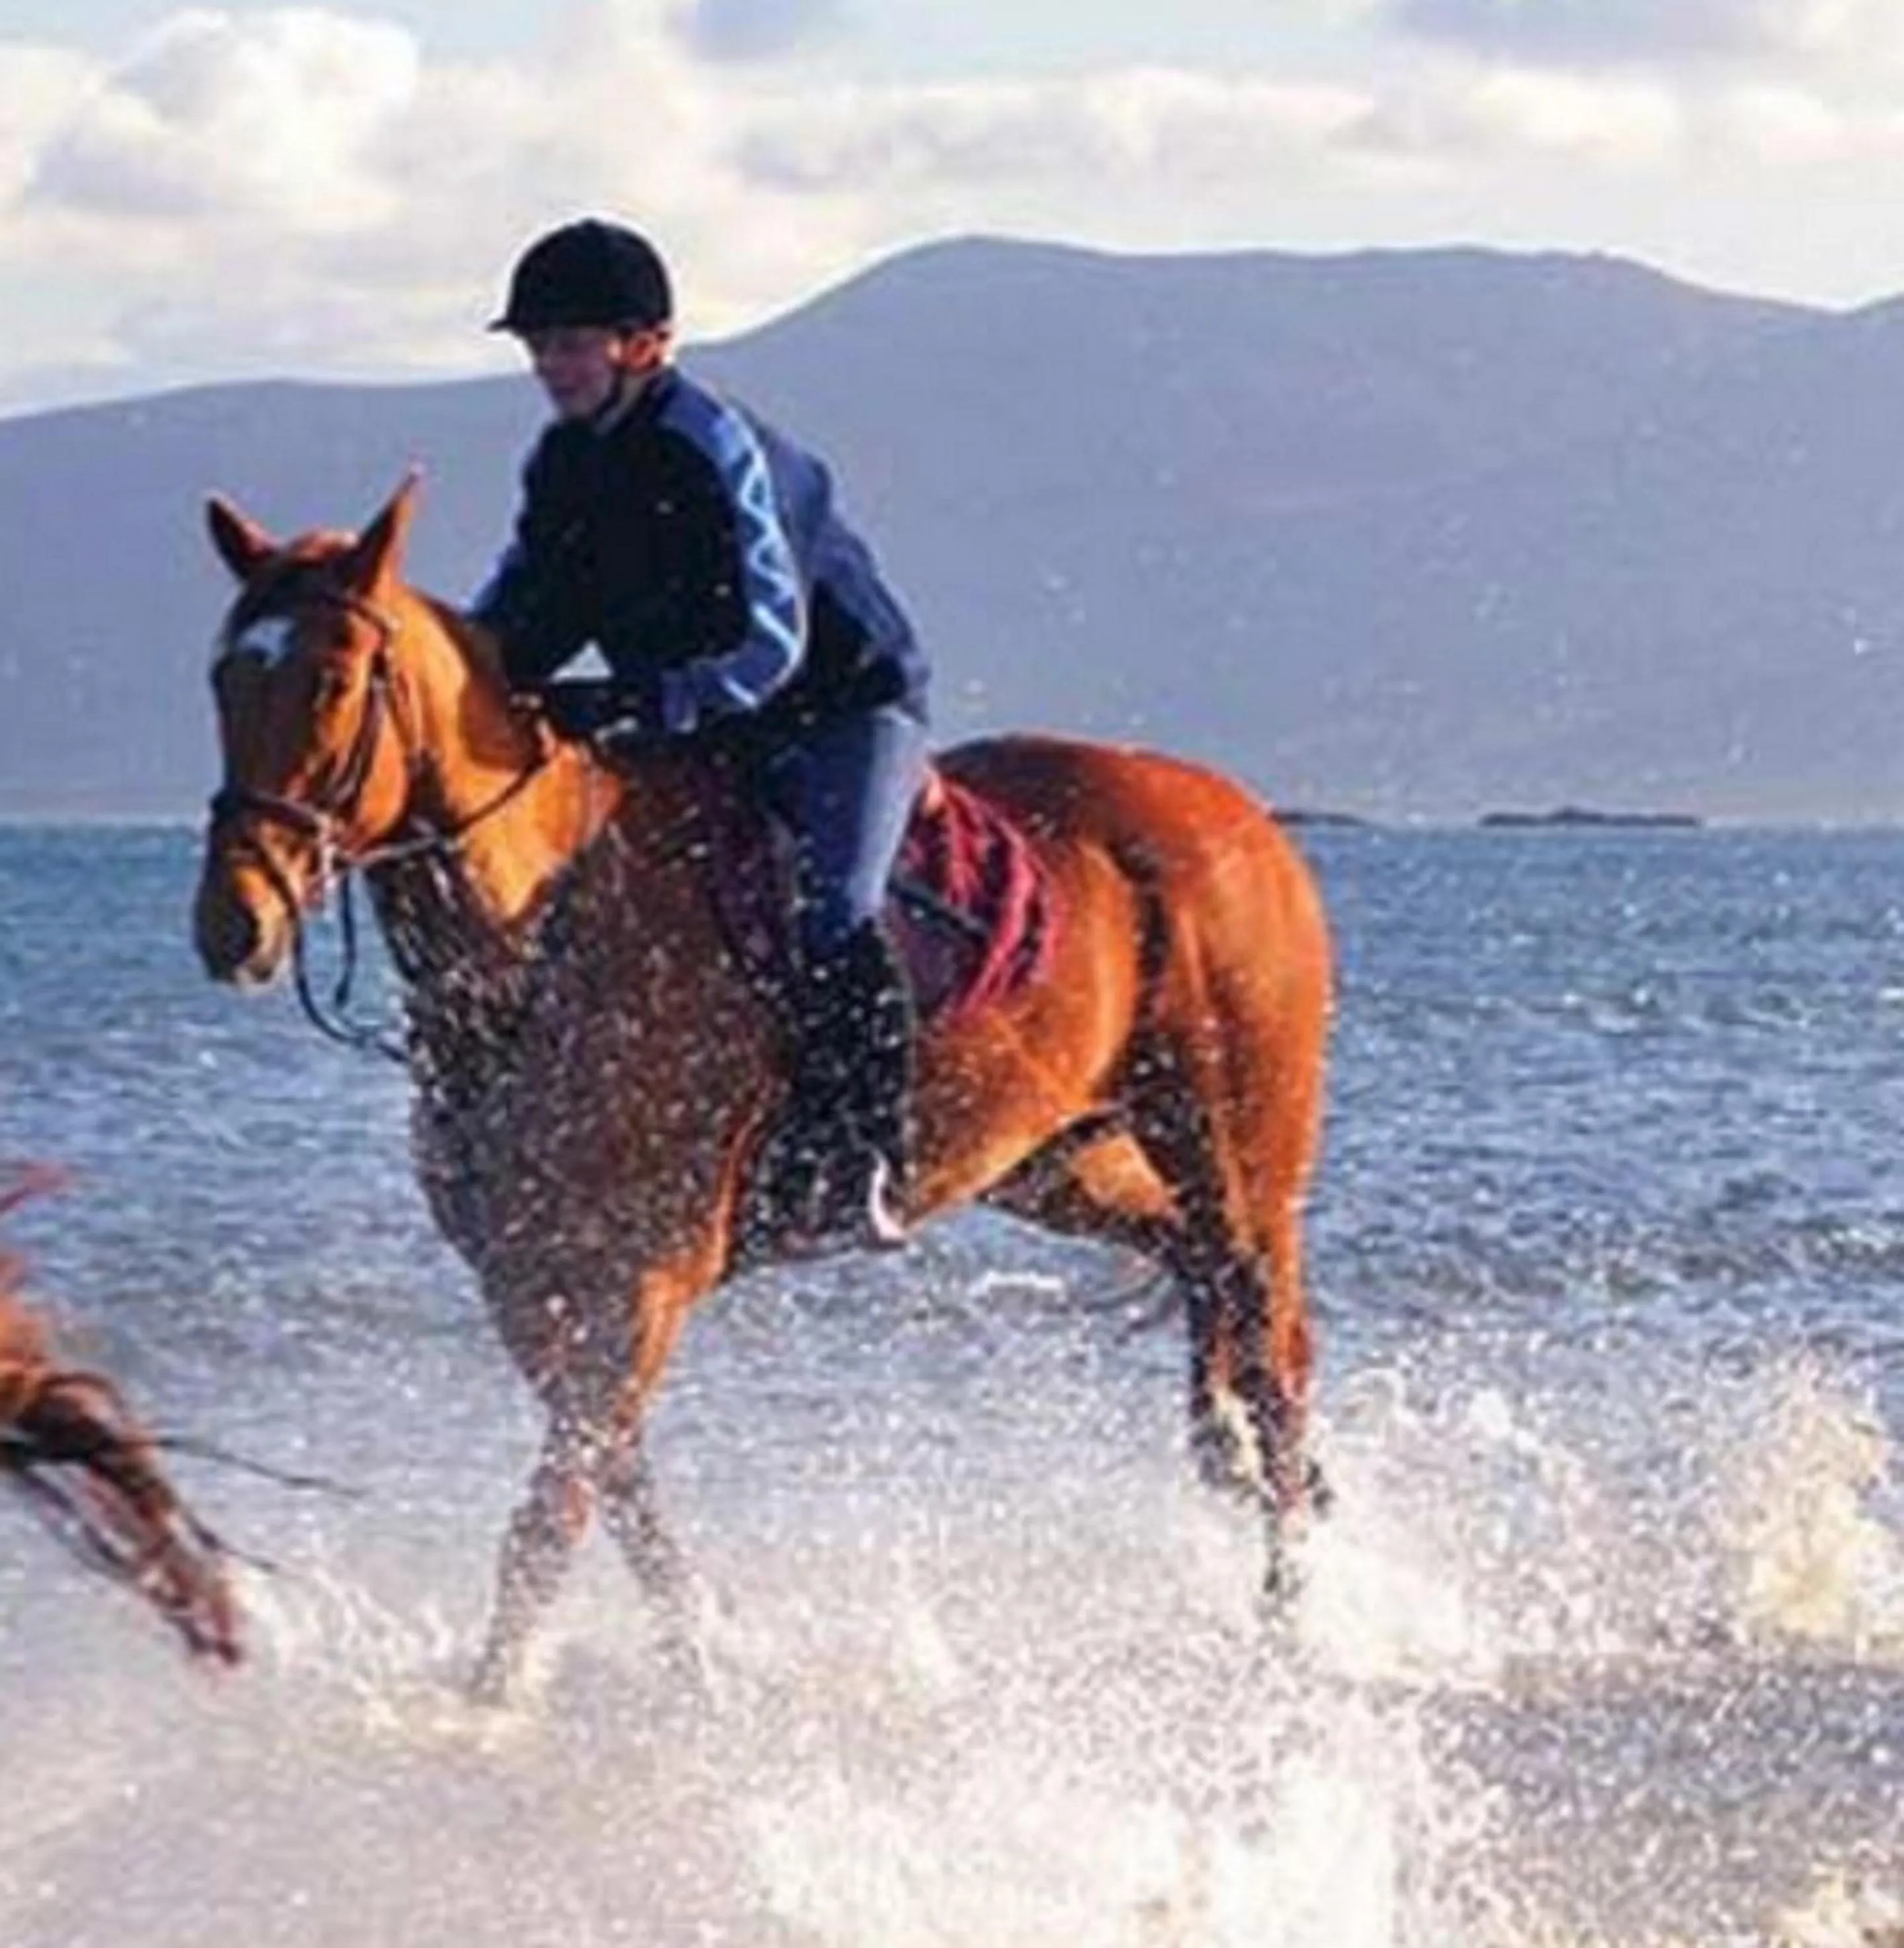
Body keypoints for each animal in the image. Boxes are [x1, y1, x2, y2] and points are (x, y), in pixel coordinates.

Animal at [192, 476, 1332, 1701]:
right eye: (223, 676)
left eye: (331, 680)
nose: (235, 924)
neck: (538, 942)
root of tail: (1253, 826)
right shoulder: (528, 1286)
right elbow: (618, 1490)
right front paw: (701, 1649)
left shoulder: (638, 1284)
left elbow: (552, 1515)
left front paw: (491, 1702)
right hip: (1055, 1160)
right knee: (1195, 1265)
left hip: (1236, 1158)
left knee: (1273, 1347)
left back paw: (1290, 1623)